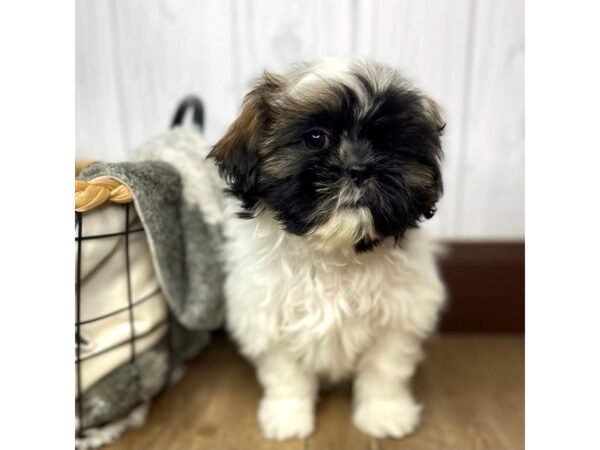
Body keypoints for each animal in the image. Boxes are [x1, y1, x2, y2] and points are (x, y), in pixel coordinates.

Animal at [210, 57, 446, 440]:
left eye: (387, 142)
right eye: (316, 138)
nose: (359, 168)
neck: (335, 251)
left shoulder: (400, 314)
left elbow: (385, 367)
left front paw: (384, 412)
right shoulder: (268, 315)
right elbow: (285, 372)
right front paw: (288, 416)